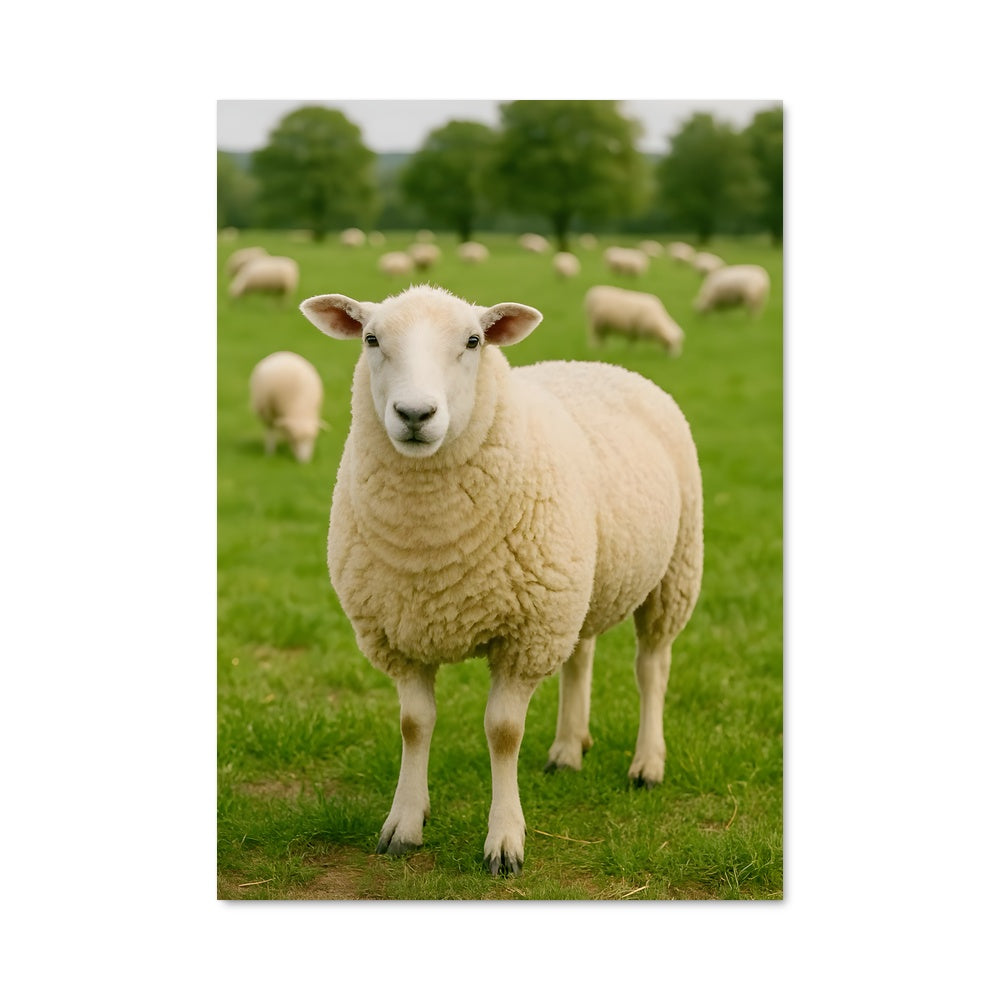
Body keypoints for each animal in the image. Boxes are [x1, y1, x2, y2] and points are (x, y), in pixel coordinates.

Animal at [299, 283, 703, 876]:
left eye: (474, 341)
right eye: (371, 339)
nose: (415, 413)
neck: (431, 548)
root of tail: (597, 364)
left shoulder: (525, 636)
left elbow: (503, 733)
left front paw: (505, 841)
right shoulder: (399, 633)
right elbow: (414, 724)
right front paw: (404, 823)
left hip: (673, 569)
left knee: (652, 666)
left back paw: (647, 763)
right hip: (573, 587)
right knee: (580, 657)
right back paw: (567, 749)